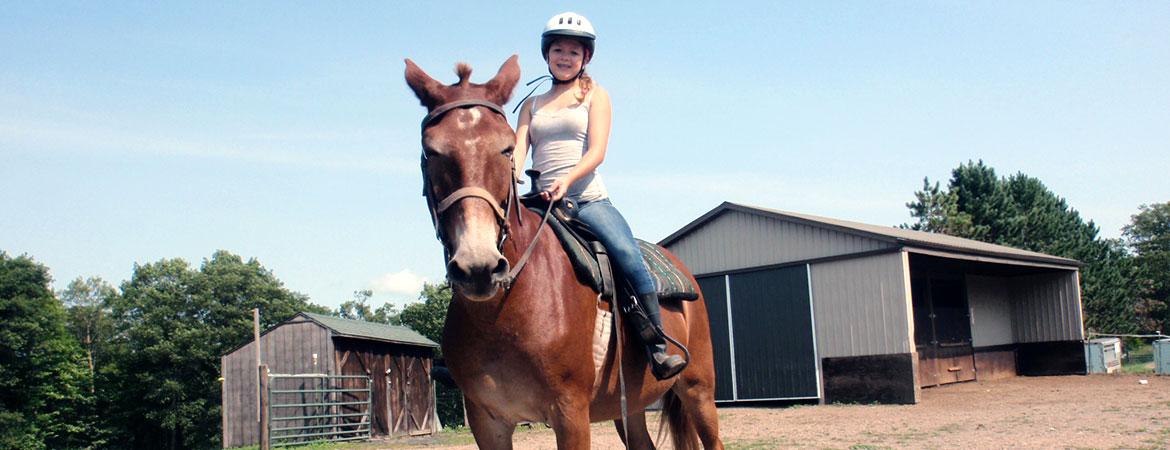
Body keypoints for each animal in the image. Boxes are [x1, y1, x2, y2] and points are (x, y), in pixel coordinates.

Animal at [405, 55, 724, 450]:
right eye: (431, 151)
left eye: (506, 148)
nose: (478, 267)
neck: (506, 309)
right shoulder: (486, 421)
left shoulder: (570, 413)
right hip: (629, 407)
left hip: (698, 390)